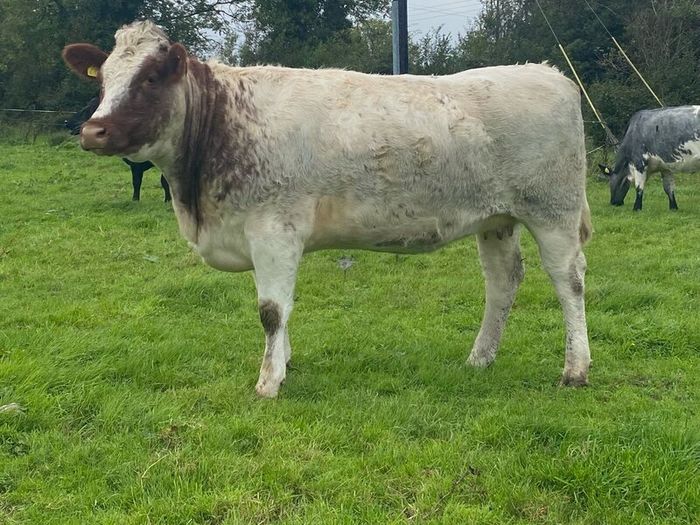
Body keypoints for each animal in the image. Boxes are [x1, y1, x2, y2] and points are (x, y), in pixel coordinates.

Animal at [62, 21, 592, 398]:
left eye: (150, 78)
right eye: (103, 78)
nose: (94, 131)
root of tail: (546, 71)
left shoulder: (274, 229)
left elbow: (271, 310)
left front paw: (268, 381)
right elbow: (280, 309)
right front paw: (284, 363)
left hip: (554, 211)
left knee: (568, 280)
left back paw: (575, 369)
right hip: (496, 219)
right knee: (503, 280)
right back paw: (480, 358)